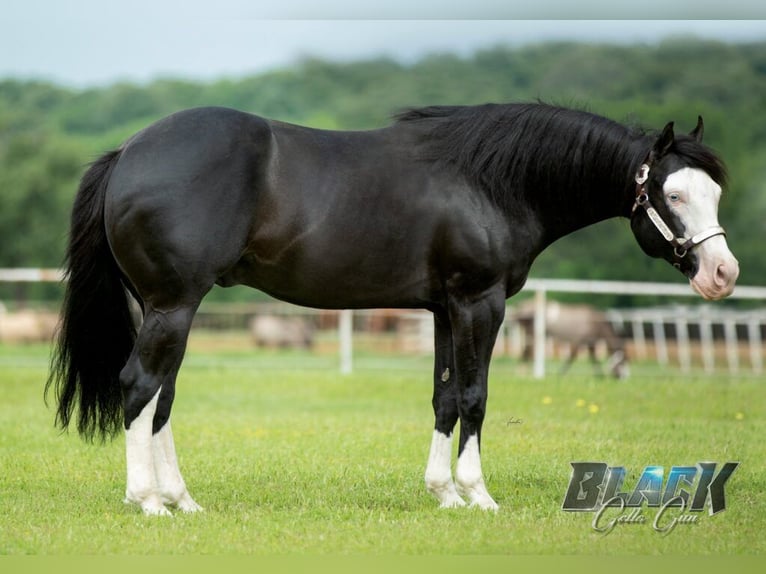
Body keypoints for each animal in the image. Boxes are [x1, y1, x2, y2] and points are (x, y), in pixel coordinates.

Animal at [45, 103, 740, 516]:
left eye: (714, 191)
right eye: (672, 193)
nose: (723, 274)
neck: (492, 180)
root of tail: (129, 152)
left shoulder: (442, 308)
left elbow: (444, 397)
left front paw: (443, 494)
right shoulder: (478, 302)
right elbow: (475, 397)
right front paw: (478, 495)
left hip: (164, 309)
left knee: (160, 397)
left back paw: (181, 500)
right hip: (174, 306)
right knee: (140, 387)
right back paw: (147, 501)